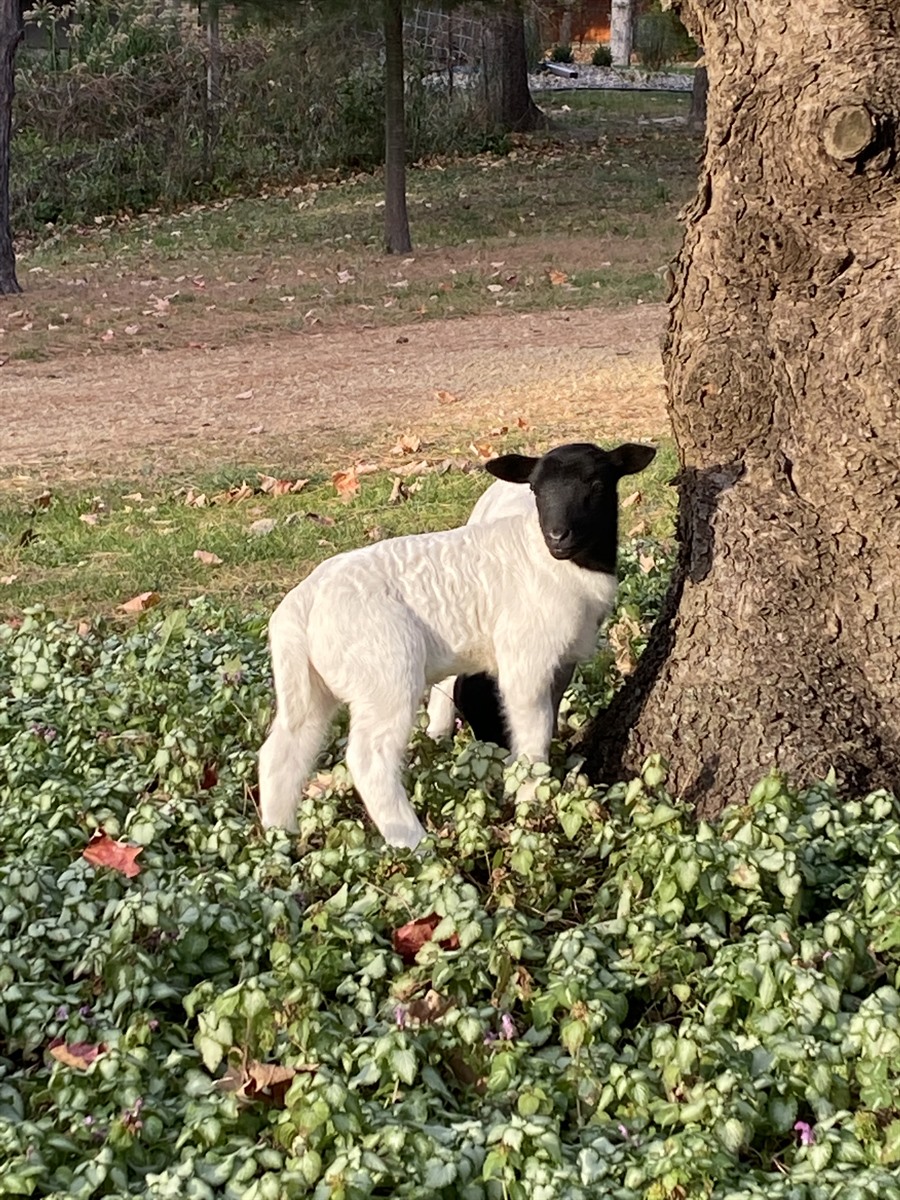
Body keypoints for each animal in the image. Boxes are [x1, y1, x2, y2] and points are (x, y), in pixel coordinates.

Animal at [258, 441, 656, 849]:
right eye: (534, 489)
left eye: (597, 483)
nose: (557, 536)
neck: (556, 564)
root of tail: (300, 606)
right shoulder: (525, 657)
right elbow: (533, 732)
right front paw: (530, 801)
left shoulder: (560, 661)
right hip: (384, 671)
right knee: (369, 759)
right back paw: (414, 844)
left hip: (310, 683)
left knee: (284, 748)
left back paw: (279, 836)